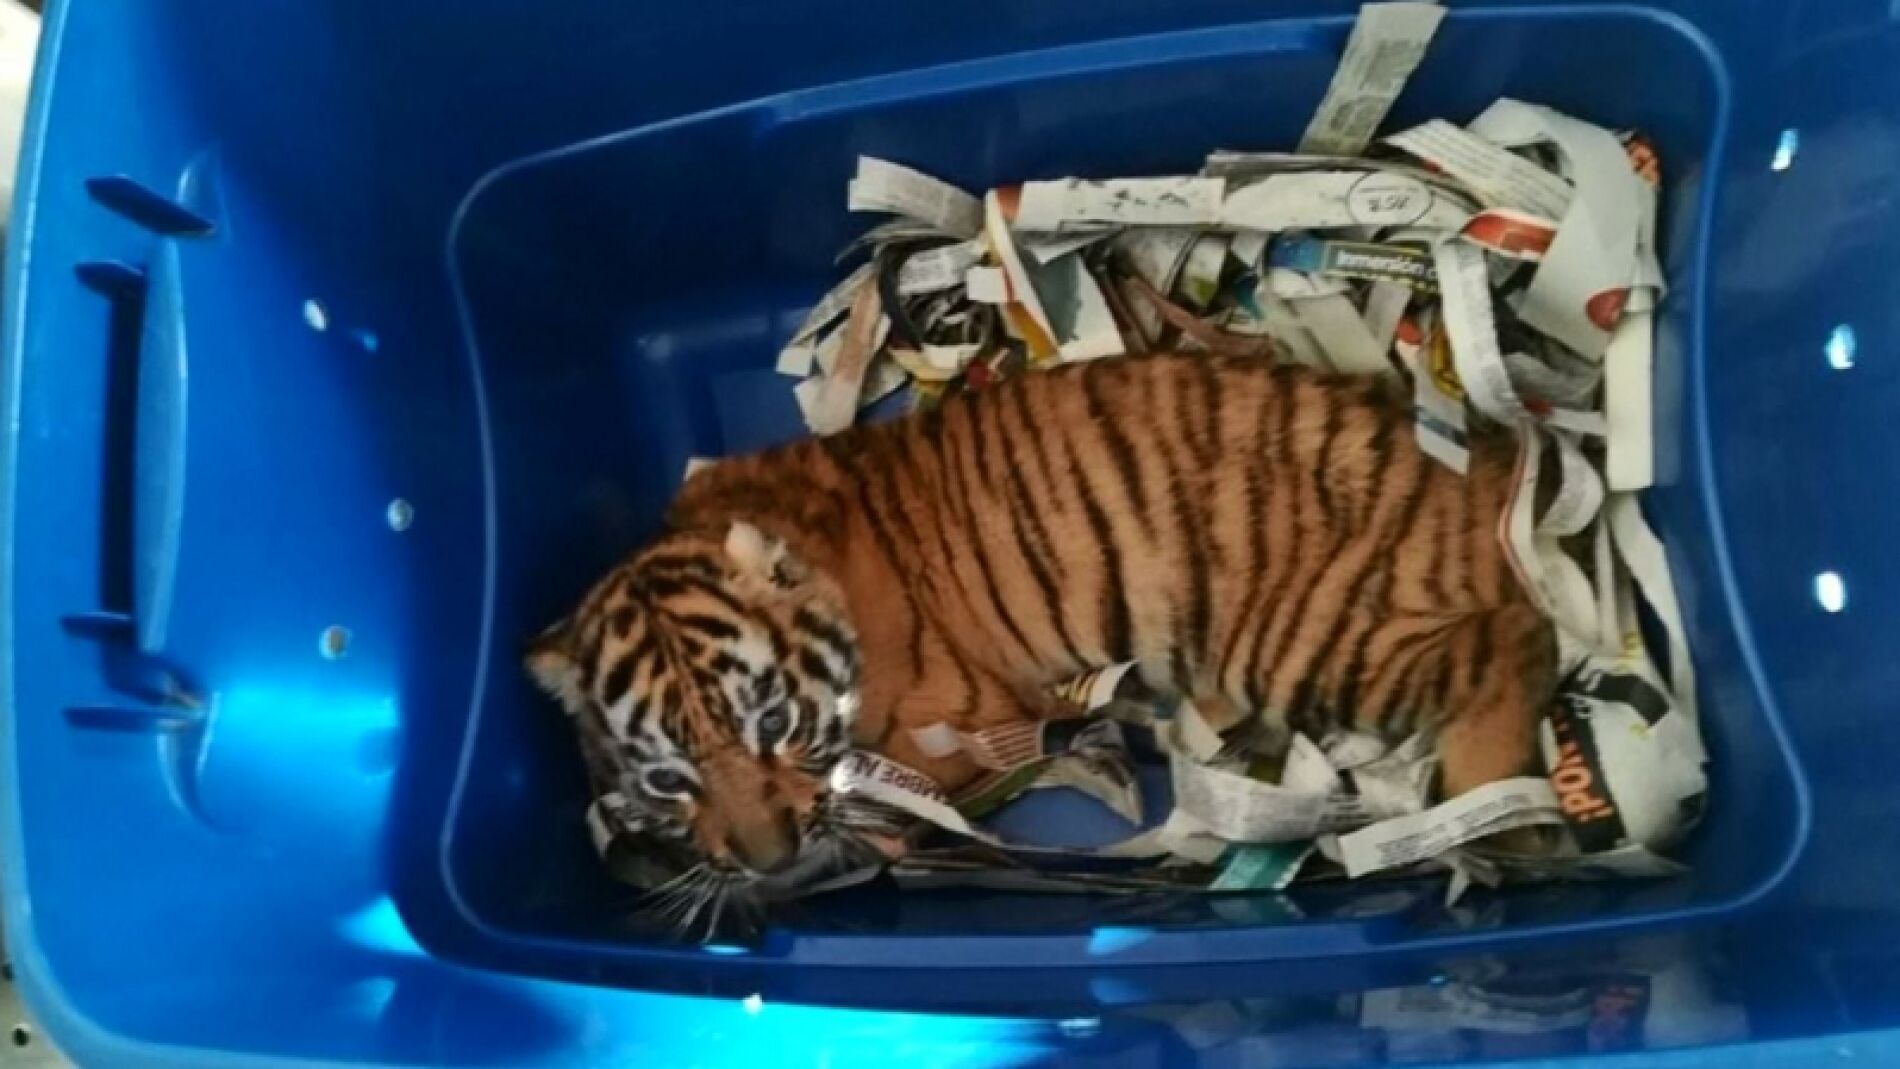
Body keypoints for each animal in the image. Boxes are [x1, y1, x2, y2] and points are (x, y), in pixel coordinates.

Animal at [526, 351, 1557, 893]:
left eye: (773, 722)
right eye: (668, 777)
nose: (772, 865)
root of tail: (1479, 465)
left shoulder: (964, 726)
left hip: (1303, 630)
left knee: (1510, 638)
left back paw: (1496, 818)